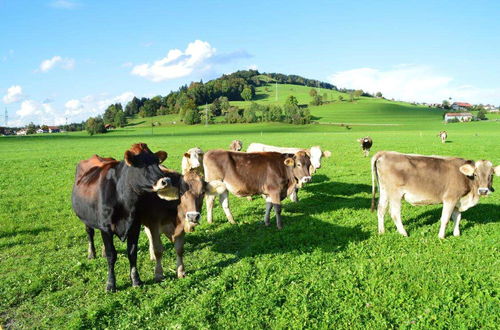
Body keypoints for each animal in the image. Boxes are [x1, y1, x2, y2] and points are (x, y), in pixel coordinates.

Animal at [72, 142, 170, 292]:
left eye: (156, 161)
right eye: (141, 163)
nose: (165, 180)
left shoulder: (135, 226)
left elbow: (132, 253)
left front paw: (136, 280)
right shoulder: (106, 228)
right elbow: (112, 255)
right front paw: (110, 284)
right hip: (86, 219)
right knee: (90, 233)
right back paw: (91, 253)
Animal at [372, 151, 500, 238]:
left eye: (491, 175)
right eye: (475, 174)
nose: (483, 191)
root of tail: (385, 153)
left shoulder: (458, 201)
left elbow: (457, 218)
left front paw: (456, 234)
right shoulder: (450, 198)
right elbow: (445, 218)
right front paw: (441, 236)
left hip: (384, 191)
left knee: (381, 210)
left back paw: (381, 231)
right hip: (395, 194)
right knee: (394, 213)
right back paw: (404, 233)